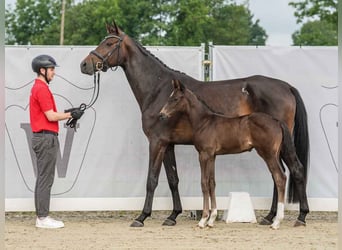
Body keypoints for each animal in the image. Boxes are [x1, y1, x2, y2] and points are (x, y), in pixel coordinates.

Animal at [159, 79, 308, 229]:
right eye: (169, 97)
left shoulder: (203, 155)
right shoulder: (212, 156)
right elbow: (212, 183)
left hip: (268, 155)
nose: (161, 114)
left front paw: (203, 220)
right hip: (276, 154)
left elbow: (204, 183)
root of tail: (276, 121)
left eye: (175, 99)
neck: (204, 121)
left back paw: (277, 221)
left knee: (280, 177)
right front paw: (211, 220)